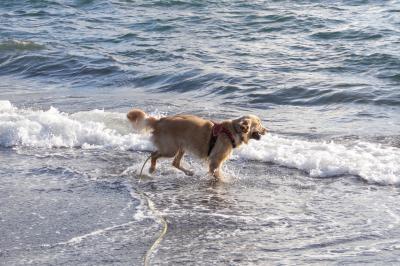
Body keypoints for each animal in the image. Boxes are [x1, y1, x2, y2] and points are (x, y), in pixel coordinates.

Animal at [126, 109, 268, 180]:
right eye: (259, 124)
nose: (267, 130)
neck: (233, 131)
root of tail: (159, 120)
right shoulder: (215, 161)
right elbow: (217, 174)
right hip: (171, 149)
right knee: (153, 155)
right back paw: (151, 169)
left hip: (181, 147)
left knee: (174, 162)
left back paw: (189, 172)